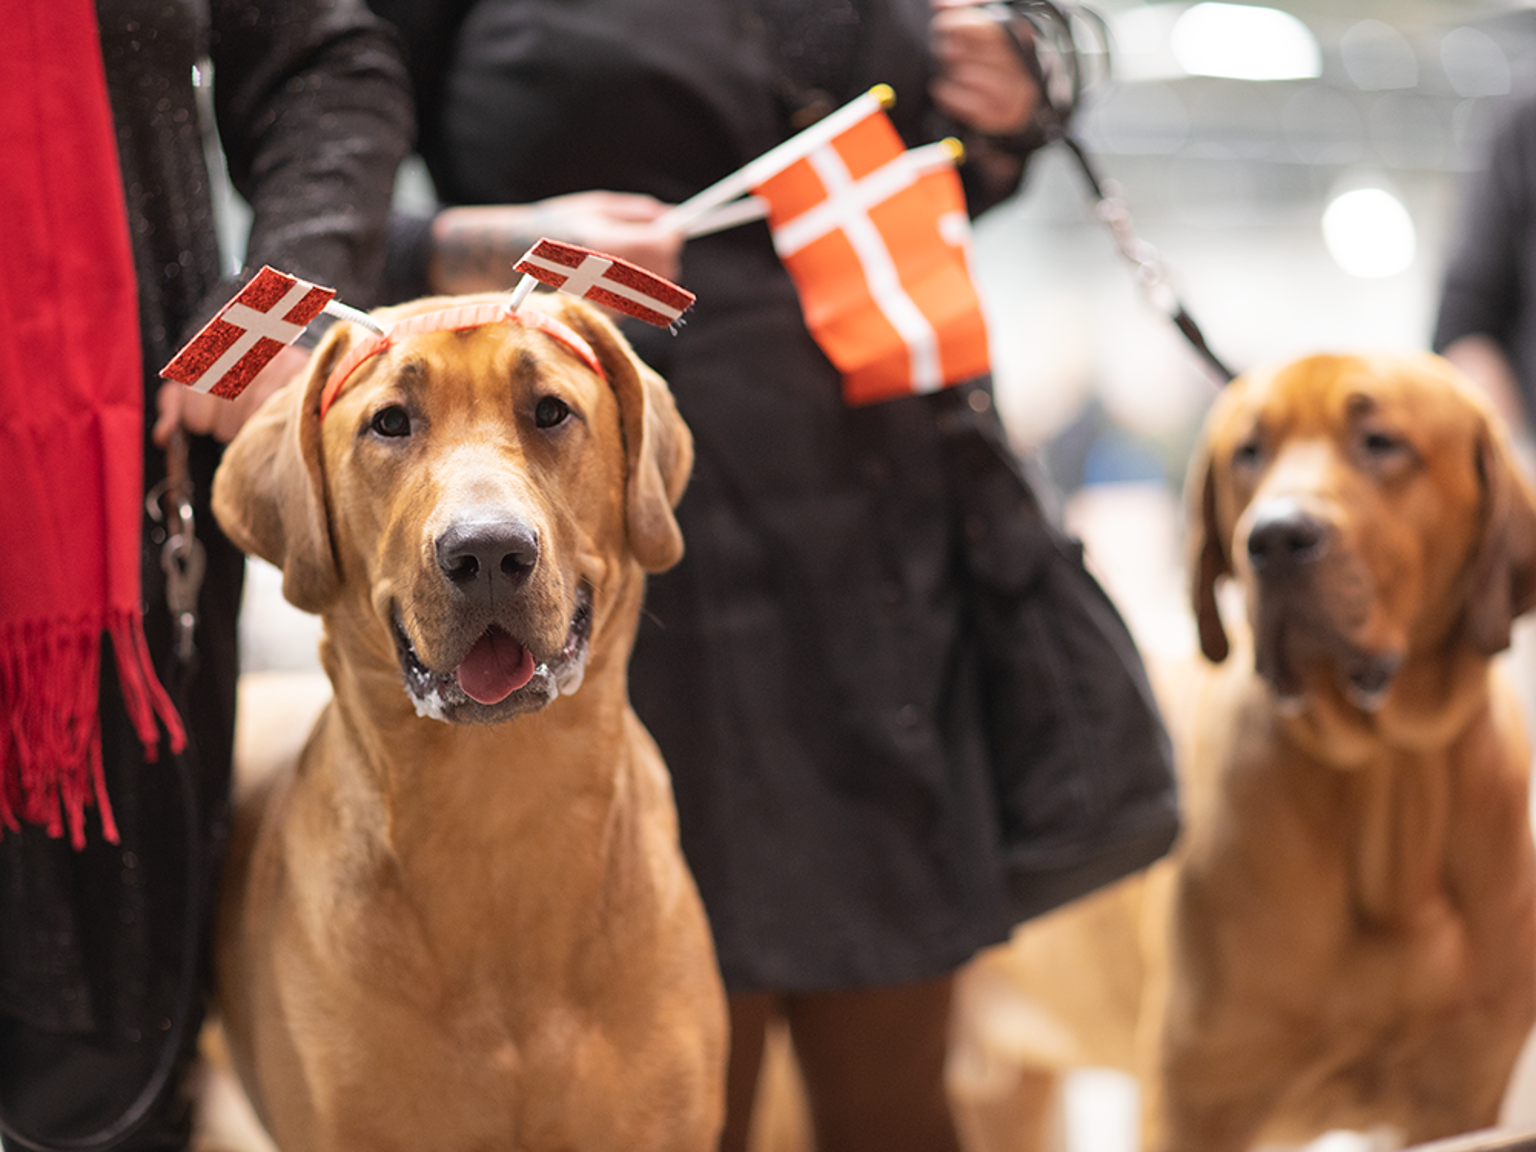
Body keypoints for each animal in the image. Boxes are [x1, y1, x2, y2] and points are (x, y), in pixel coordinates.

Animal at [946, 351, 1536, 1152]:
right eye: (1248, 453)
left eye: (1380, 442)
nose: (1277, 539)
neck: (1388, 782)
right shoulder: (1196, 1098)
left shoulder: (1460, 1101)